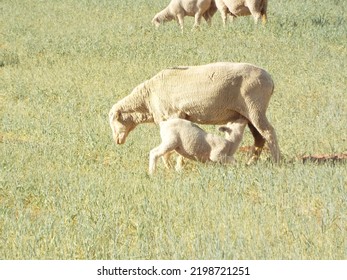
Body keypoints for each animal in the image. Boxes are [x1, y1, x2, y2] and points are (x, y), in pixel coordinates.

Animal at [110, 61, 282, 164]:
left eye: (114, 121)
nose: (117, 141)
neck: (147, 99)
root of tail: (270, 80)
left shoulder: (173, 114)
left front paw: (174, 166)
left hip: (255, 107)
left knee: (268, 133)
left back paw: (276, 161)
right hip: (250, 112)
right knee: (259, 138)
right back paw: (251, 162)